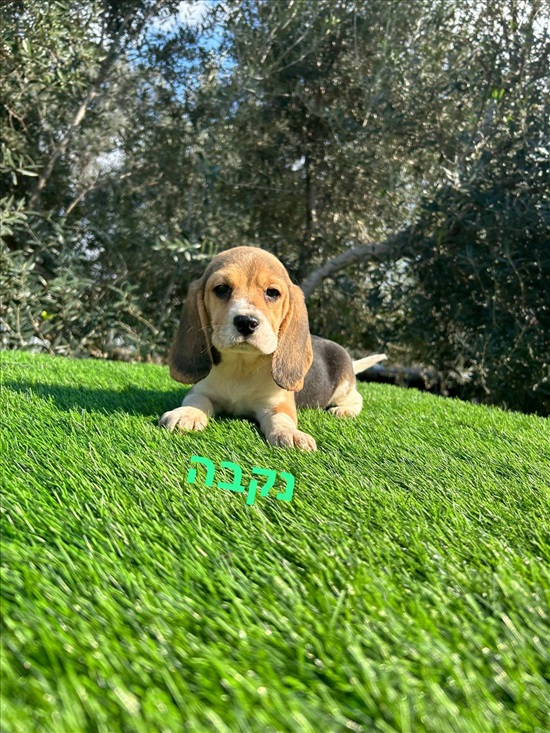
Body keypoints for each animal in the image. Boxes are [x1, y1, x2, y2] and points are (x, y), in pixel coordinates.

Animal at [157, 247, 386, 452]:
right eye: (221, 289)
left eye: (272, 293)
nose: (246, 322)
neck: (241, 366)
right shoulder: (201, 389)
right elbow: (197, 400)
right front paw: (186, 413)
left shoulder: (278, 403)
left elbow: (281, 418)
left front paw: (291, 434)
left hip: (343, 387)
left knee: (357, 398)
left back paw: (343, 411)